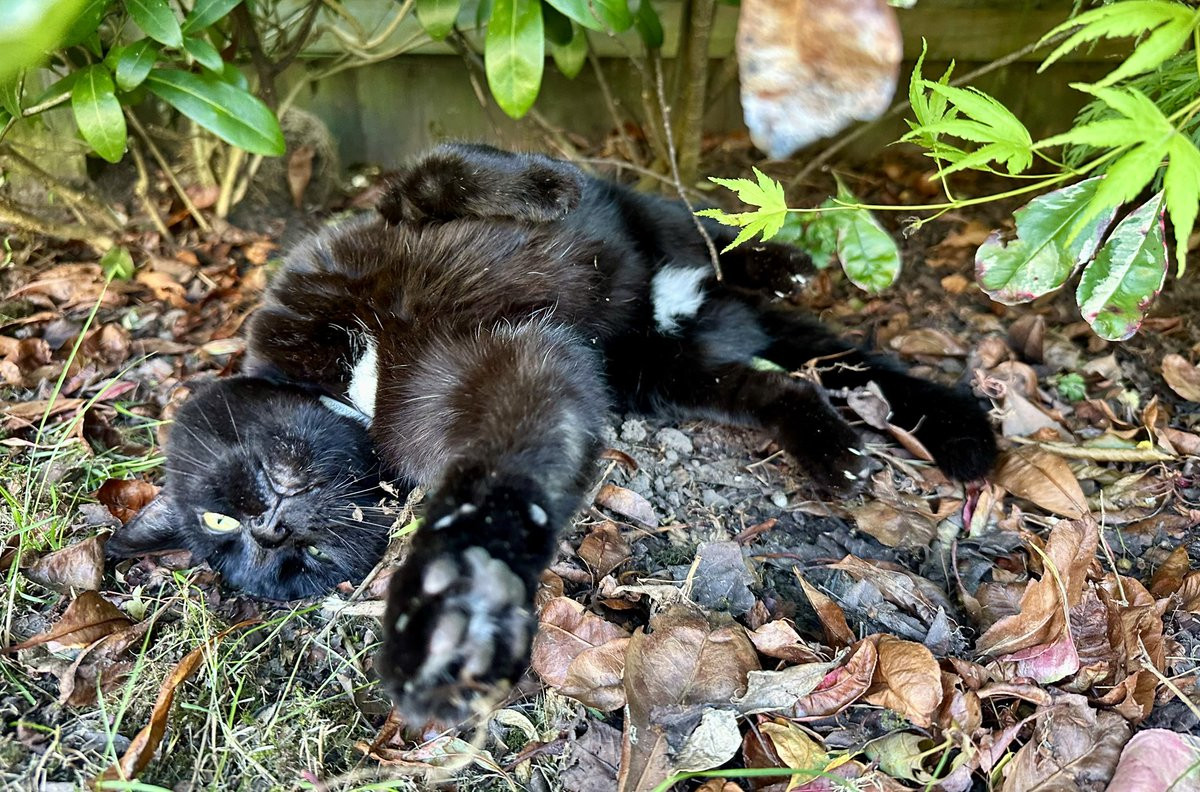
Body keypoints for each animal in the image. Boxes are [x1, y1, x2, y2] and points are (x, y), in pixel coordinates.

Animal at [109, 143, 997, 723]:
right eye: (287, 562)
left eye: (222, 511)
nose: (271, 525)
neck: (350, 392)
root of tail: (685, 307)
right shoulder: (512, 380)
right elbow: (516, 450)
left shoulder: (336, 257)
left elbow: (436, 173)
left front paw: (544, 188)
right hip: (674, 374)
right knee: (802, 377)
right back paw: (869, 443)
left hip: (660, 234)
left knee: (700, 228)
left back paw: (778, 259)